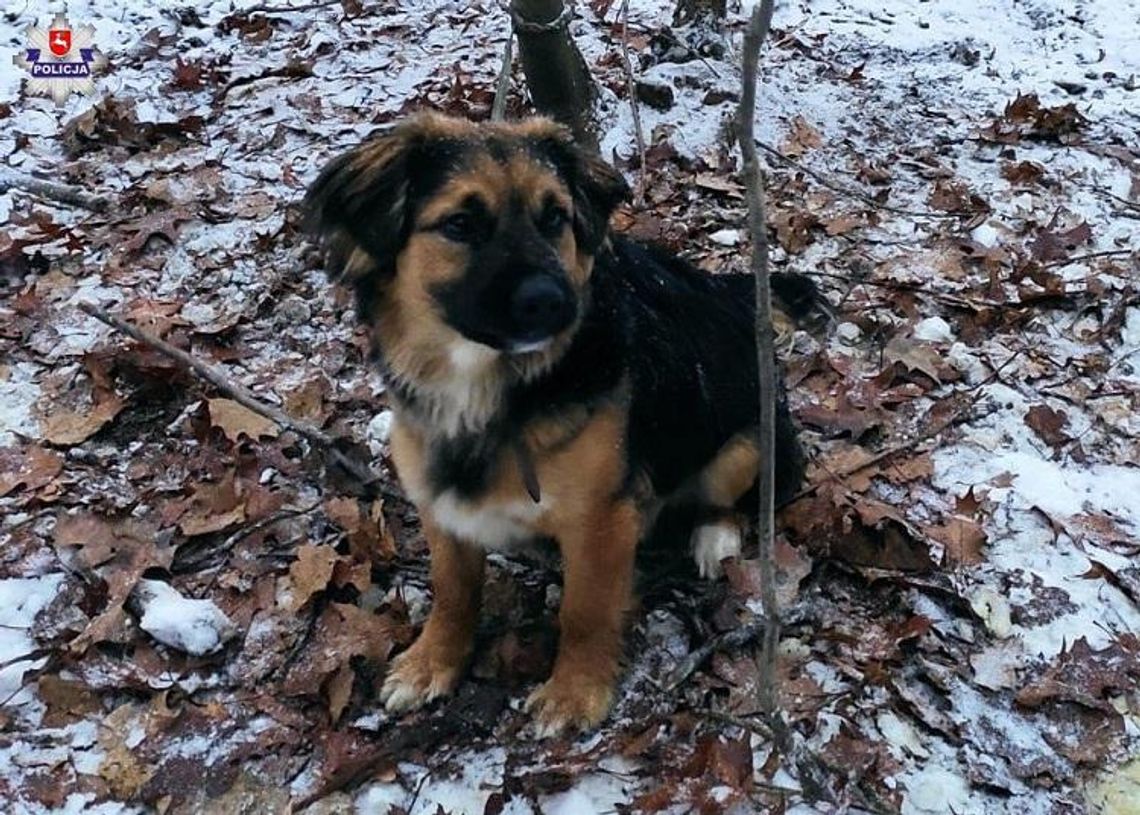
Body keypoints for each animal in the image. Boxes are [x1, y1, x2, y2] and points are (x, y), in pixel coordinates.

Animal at [303, 111, 802, 738]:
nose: (549, 301)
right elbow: (453, 592)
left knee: (730, 496)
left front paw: (574, 693)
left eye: (555, 218)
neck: (493, 390)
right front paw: (432, 663)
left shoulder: (601, 517)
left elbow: (583, 612)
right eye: (461, 224)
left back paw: (715, 539)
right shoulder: (439, 500)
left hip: (745, 443)